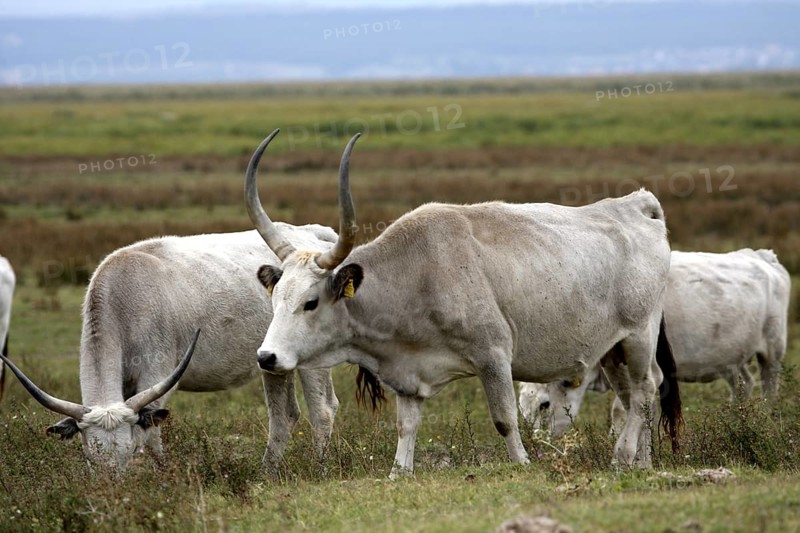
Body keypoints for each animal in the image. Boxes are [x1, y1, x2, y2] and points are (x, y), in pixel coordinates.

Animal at [1, 227, 341, 471]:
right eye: (90, 459)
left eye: (128, 454)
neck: (124, 299)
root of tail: (311, 234)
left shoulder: (155, 377)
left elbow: (152, 438)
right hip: (272, 362)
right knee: (284, 416)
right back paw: (266, 474)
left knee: (322, 411)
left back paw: (320, 469)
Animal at [244, 129, 682, 477]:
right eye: (275, 298)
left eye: (311, 302)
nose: (267, 357)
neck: (417, 272)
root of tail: (637, 205)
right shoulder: (408, 375)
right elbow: (406, 426)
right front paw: (399, 472)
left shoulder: (493, 355)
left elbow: (505, 419)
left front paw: (522, 463)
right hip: (611, 349)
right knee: (631, 396)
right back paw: (643, 461)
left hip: (638, 335)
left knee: (645, 388)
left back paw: (622, 457)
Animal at [520, 248, 791, 437]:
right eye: (521, 405)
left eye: (544, 405)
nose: (536, 442)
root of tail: (761, 255)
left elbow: (621, 408)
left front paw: (617, 438)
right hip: (733, 359)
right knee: (744, 384)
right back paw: (738, 421)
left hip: (773, 349)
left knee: (769, 387)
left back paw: (765, 420)